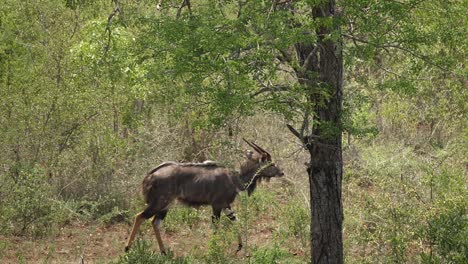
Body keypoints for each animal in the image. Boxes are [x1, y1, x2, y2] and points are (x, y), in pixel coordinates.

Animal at [124, 138, 284, 254]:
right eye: (271, 163)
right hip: (159, 203)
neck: (234, 179)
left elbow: (235, 220)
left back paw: (164, 252)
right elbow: (215, 227)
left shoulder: (226, 205)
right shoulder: (217, 205)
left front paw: (239, 246)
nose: (281, 173)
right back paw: (127, 248)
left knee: (155, 222)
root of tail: (149, 176)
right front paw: (214, 249)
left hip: (166, 205)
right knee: (139, 216)